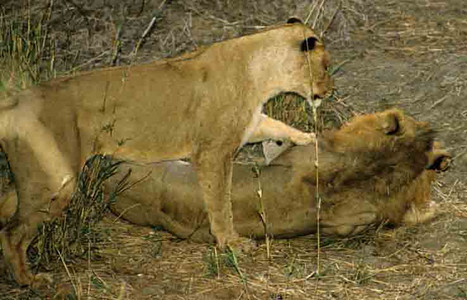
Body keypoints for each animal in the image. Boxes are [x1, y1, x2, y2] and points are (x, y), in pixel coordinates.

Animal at [0, 18, 334, 286]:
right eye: (326, 66)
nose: (330, 90)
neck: (261, 72)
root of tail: (16, 101)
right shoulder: (213, 152)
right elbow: (220, 203)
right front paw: (230, 243)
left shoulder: (249, 124)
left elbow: (279, 126)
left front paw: (309, 138)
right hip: (58, 180)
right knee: (13, 233)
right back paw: (29, 281)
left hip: (39, 177)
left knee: (7, 211)